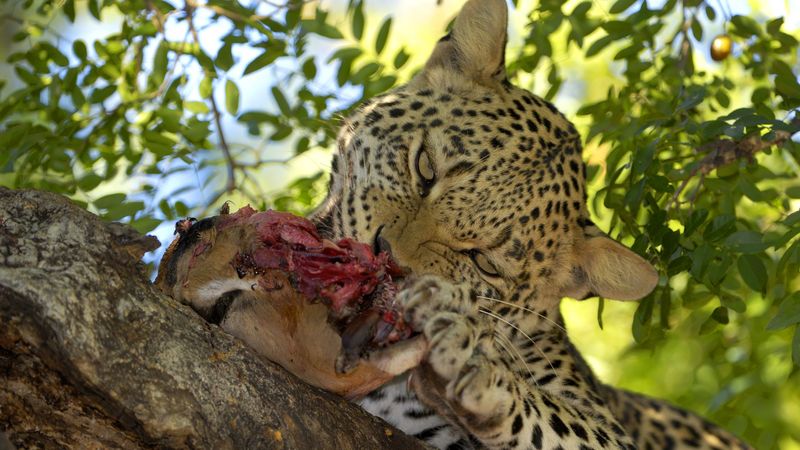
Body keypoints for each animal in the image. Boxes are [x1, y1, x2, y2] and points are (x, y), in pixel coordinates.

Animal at [300, 0, 754, 448]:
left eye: (483, 262)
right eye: (425, 168)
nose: (386, 255)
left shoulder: (608, 431)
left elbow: (549, 415)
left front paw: (470, 367)